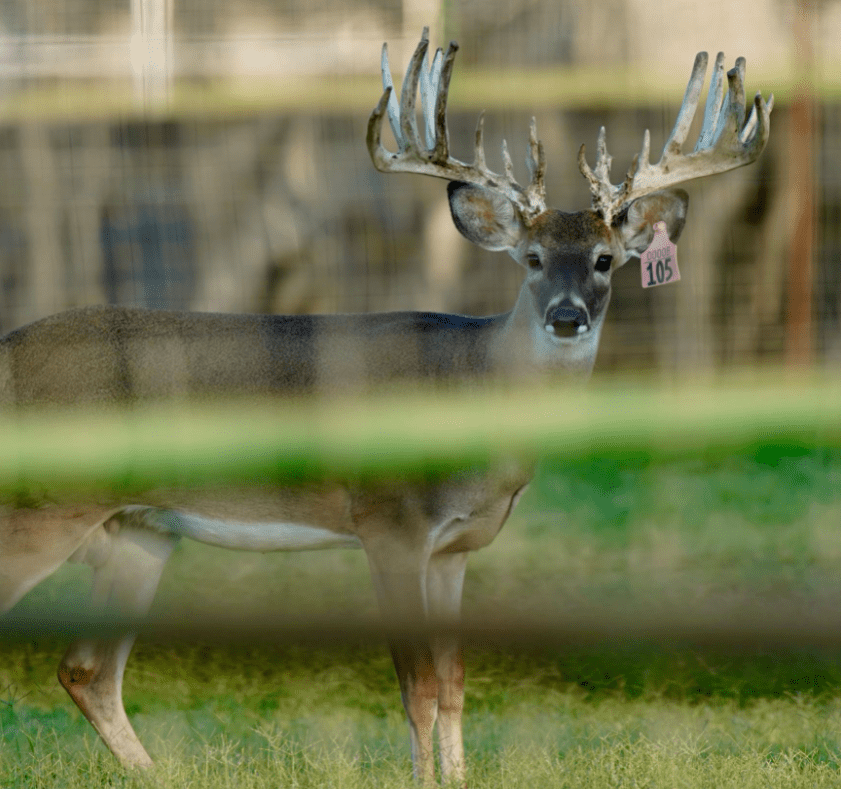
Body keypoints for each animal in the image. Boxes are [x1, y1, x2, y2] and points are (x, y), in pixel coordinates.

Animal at [0, 29, 771, 785]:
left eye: (605, 259)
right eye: (530, 258)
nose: (565, 317)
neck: (472, 388)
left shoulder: (456, 547)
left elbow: (455, 681)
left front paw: (458, 778)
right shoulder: (389, 520)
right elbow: (417, 684)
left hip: (140, 531)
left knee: (87, 670)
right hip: (41, 508)